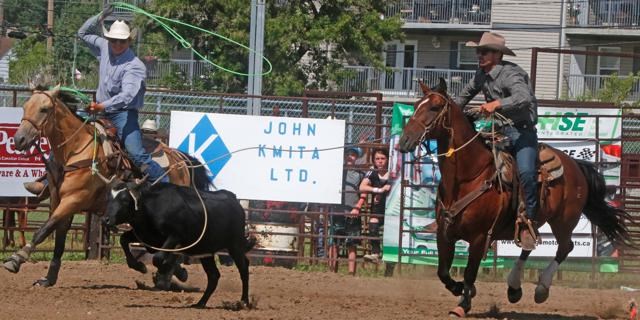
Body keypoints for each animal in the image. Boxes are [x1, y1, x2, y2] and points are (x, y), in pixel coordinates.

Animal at [5, 86, 210, 288]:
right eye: (25, 107)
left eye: (44, 109)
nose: (19, 139)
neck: (76, 150)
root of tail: (179, 158)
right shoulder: (59, 201)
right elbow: (58, 237)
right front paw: (48, 278)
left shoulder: (74, 199)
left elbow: (43, 230)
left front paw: (16, 259)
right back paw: (171, 272)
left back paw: (168, 275)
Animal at [398, 79, 632, 316]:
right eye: (416, 105)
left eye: (434, 107)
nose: (404, 141)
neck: (469, 177)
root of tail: (575, 164)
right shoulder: (444, 233)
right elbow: (443, 272)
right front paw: (462, 290)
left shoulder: (480, 237)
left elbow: (470, 272)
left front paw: (463, 304)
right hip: (533, 220)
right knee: (528, 244)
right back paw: (514, 287)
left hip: (564, 220)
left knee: (565, 247)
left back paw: (541, 288)